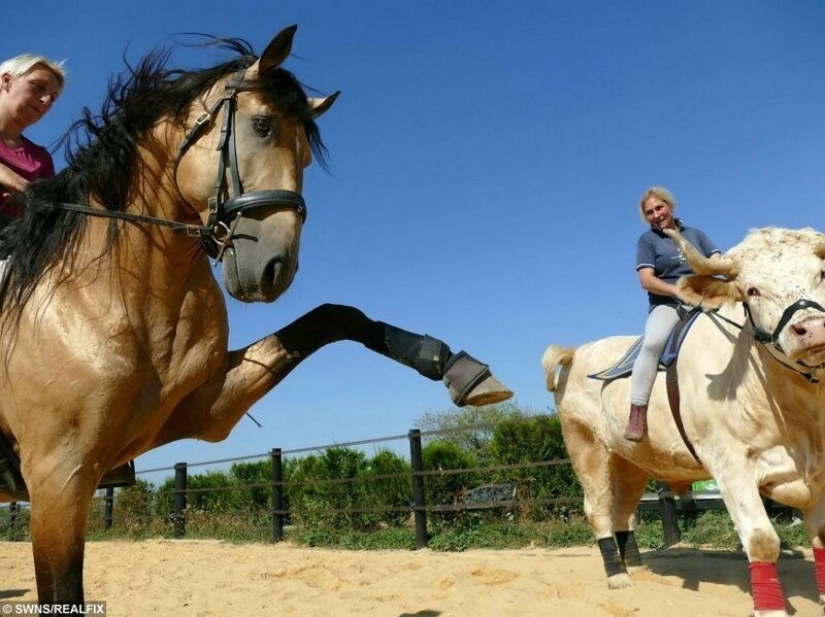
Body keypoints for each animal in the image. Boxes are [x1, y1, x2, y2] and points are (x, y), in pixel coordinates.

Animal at [542, 226, 825, 617]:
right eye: (752, 290)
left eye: (822, 273)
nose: (812, 329)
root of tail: (576, 352)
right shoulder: (729, 464)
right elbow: (762, 540)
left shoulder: (818, 467)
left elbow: (821, 535)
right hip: (586, 448)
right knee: (598, 510)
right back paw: (618, 576)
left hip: (632, 462)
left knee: (623, 512)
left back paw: (639, 569)